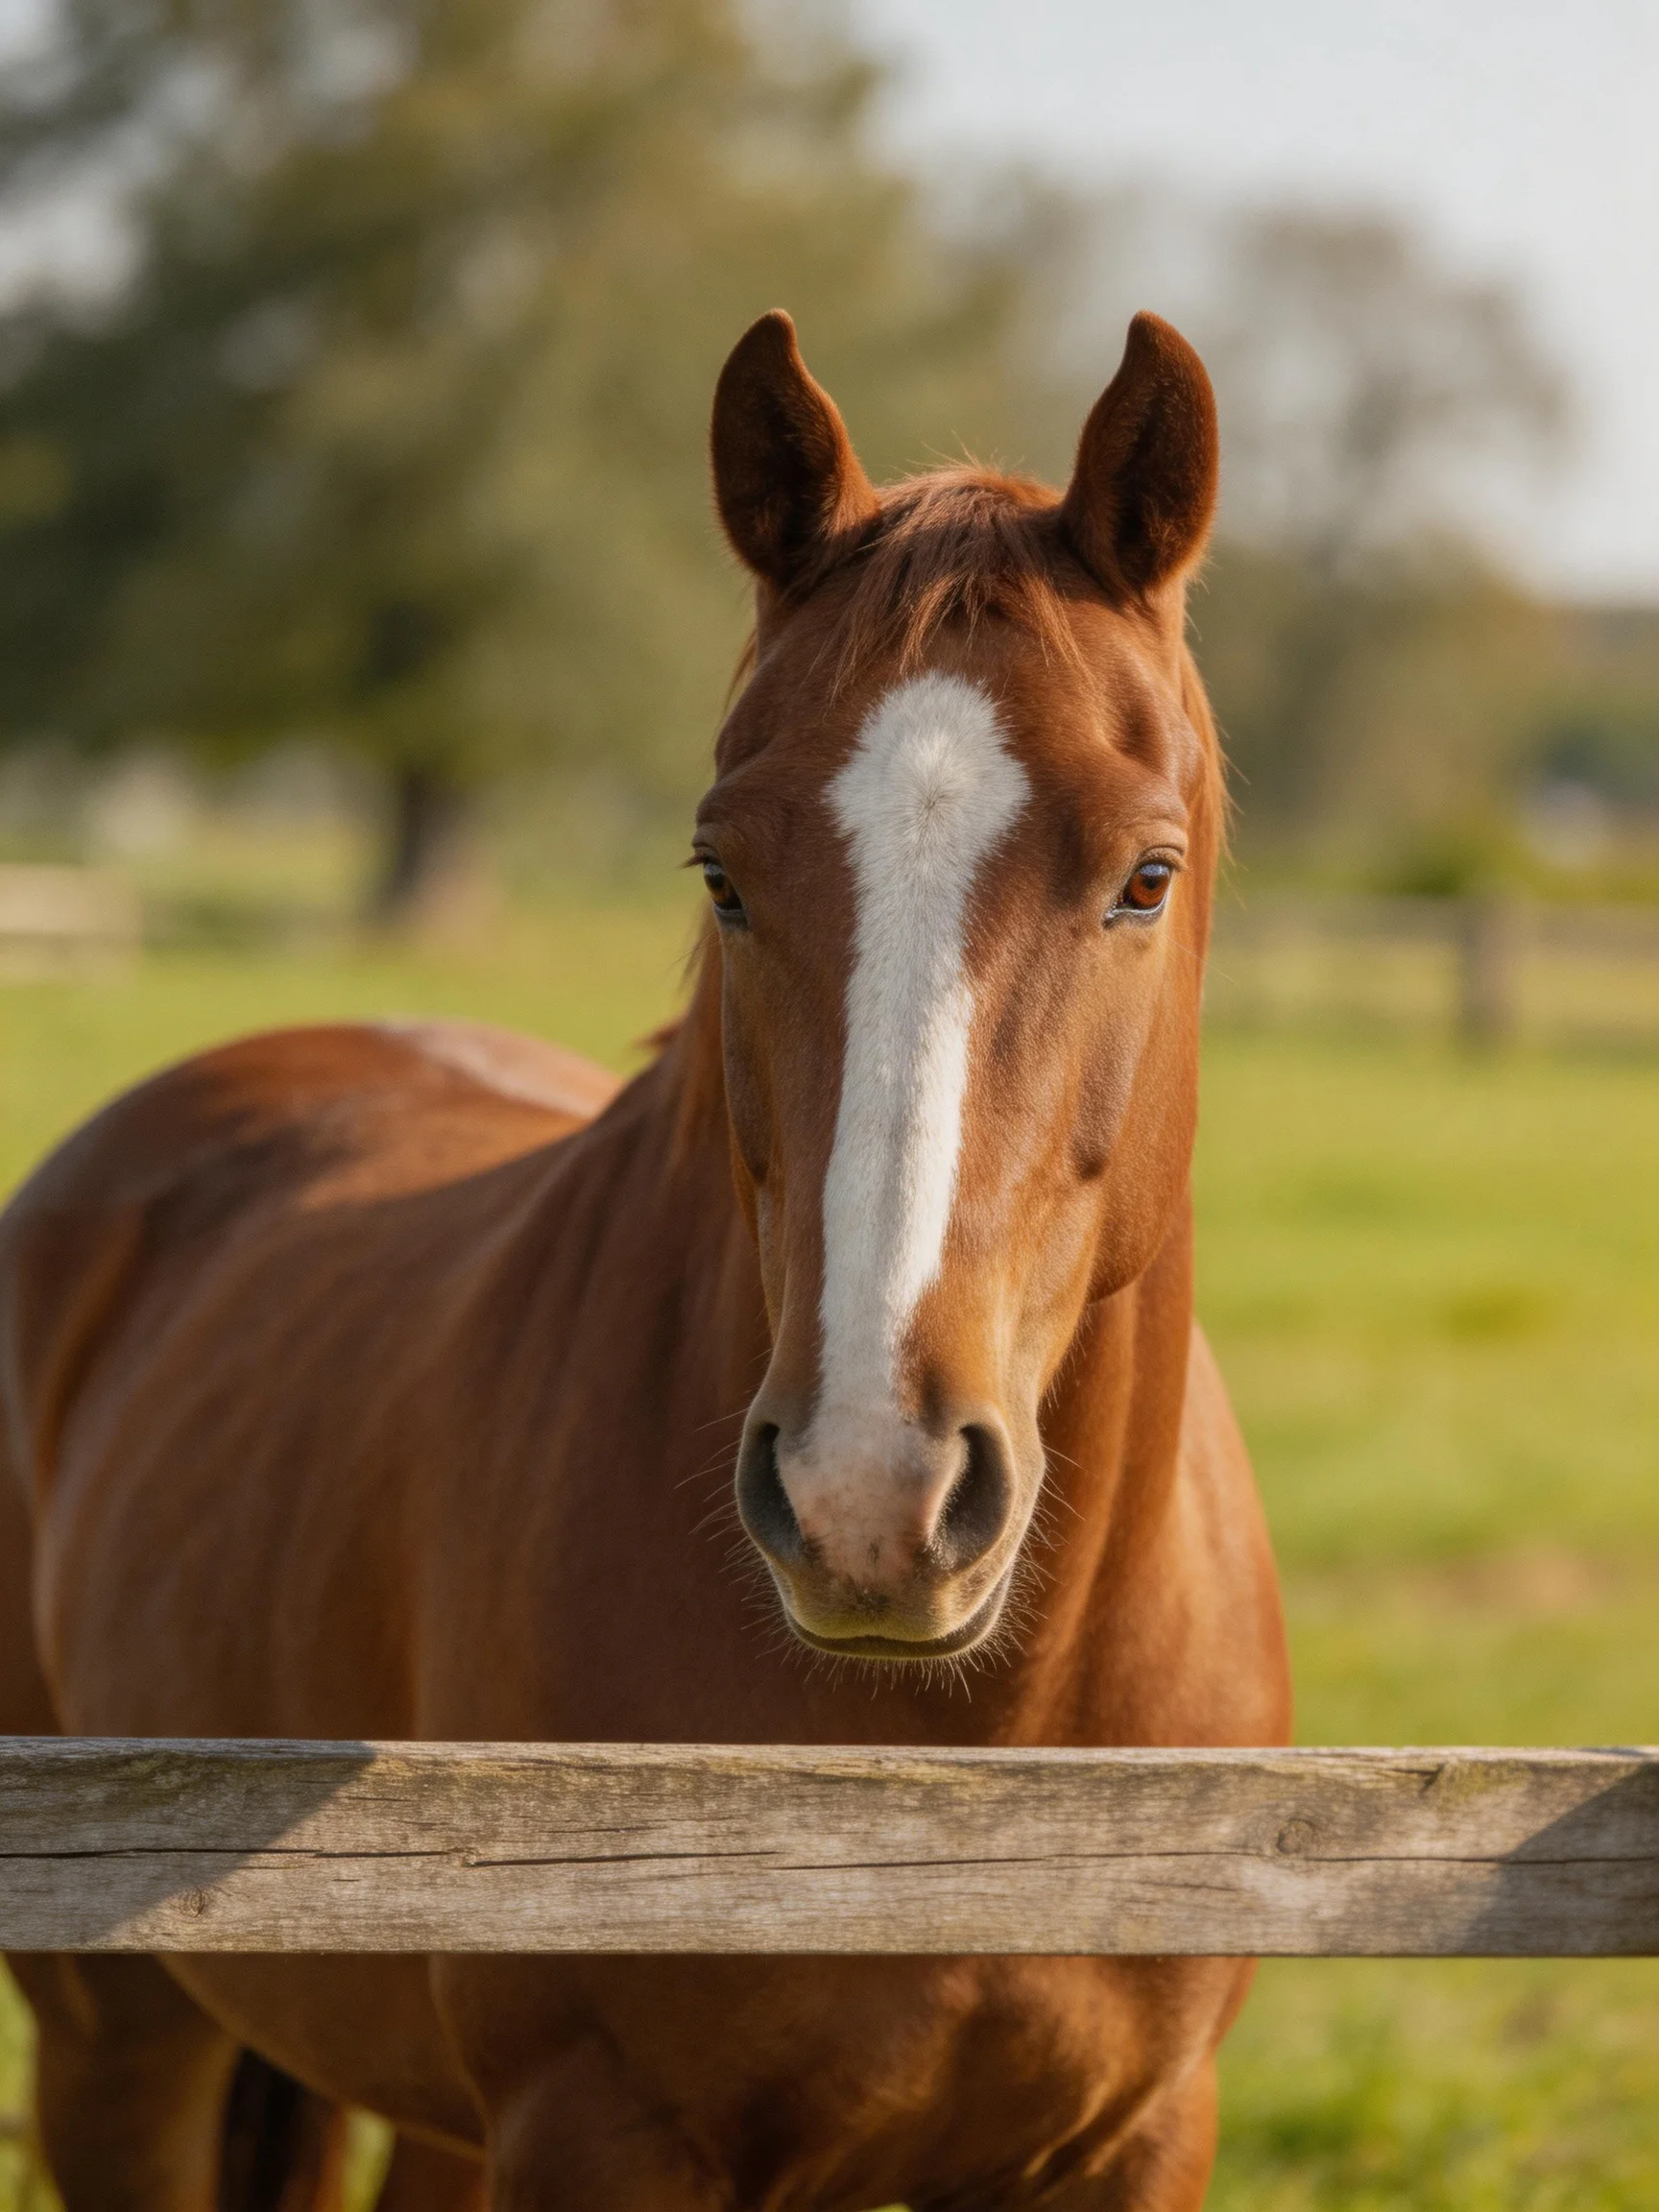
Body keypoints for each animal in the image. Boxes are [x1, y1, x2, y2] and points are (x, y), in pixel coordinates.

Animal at [0, 307, 1289, 2210]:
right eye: (720, 872)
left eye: (1146, 874)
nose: (870, 1494)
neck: (951, 1774)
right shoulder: (597, 2132)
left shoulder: (1135, 2140)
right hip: (120, 2045)